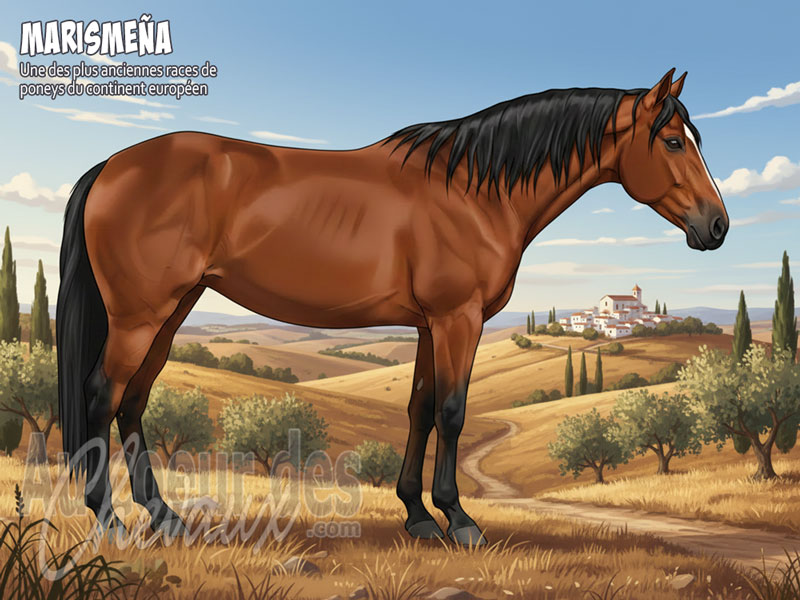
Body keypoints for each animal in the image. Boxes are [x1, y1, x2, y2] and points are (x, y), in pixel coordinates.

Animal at [57, 68, 728, 546]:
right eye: (673, 141)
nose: (716, 226)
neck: (474, 191)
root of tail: (112, 165)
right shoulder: (458, 319)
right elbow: (453, 413)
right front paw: (461, 521)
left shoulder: (432, 325)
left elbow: (420, 410)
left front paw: (418, 516)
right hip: (140, 316)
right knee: (101, 396)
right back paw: (110, 522)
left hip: (170, 312)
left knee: (134, 403)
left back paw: (164, 517)